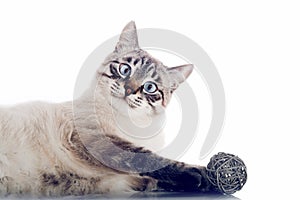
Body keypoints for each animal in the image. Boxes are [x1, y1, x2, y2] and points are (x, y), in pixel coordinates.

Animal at [0, 21, 211, 197]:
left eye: (149, 87)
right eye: (125, 69)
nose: (128, 90)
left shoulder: (117, 179)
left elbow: (150, 176)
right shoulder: (99, 139)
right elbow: (148, 159)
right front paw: (199, 173)